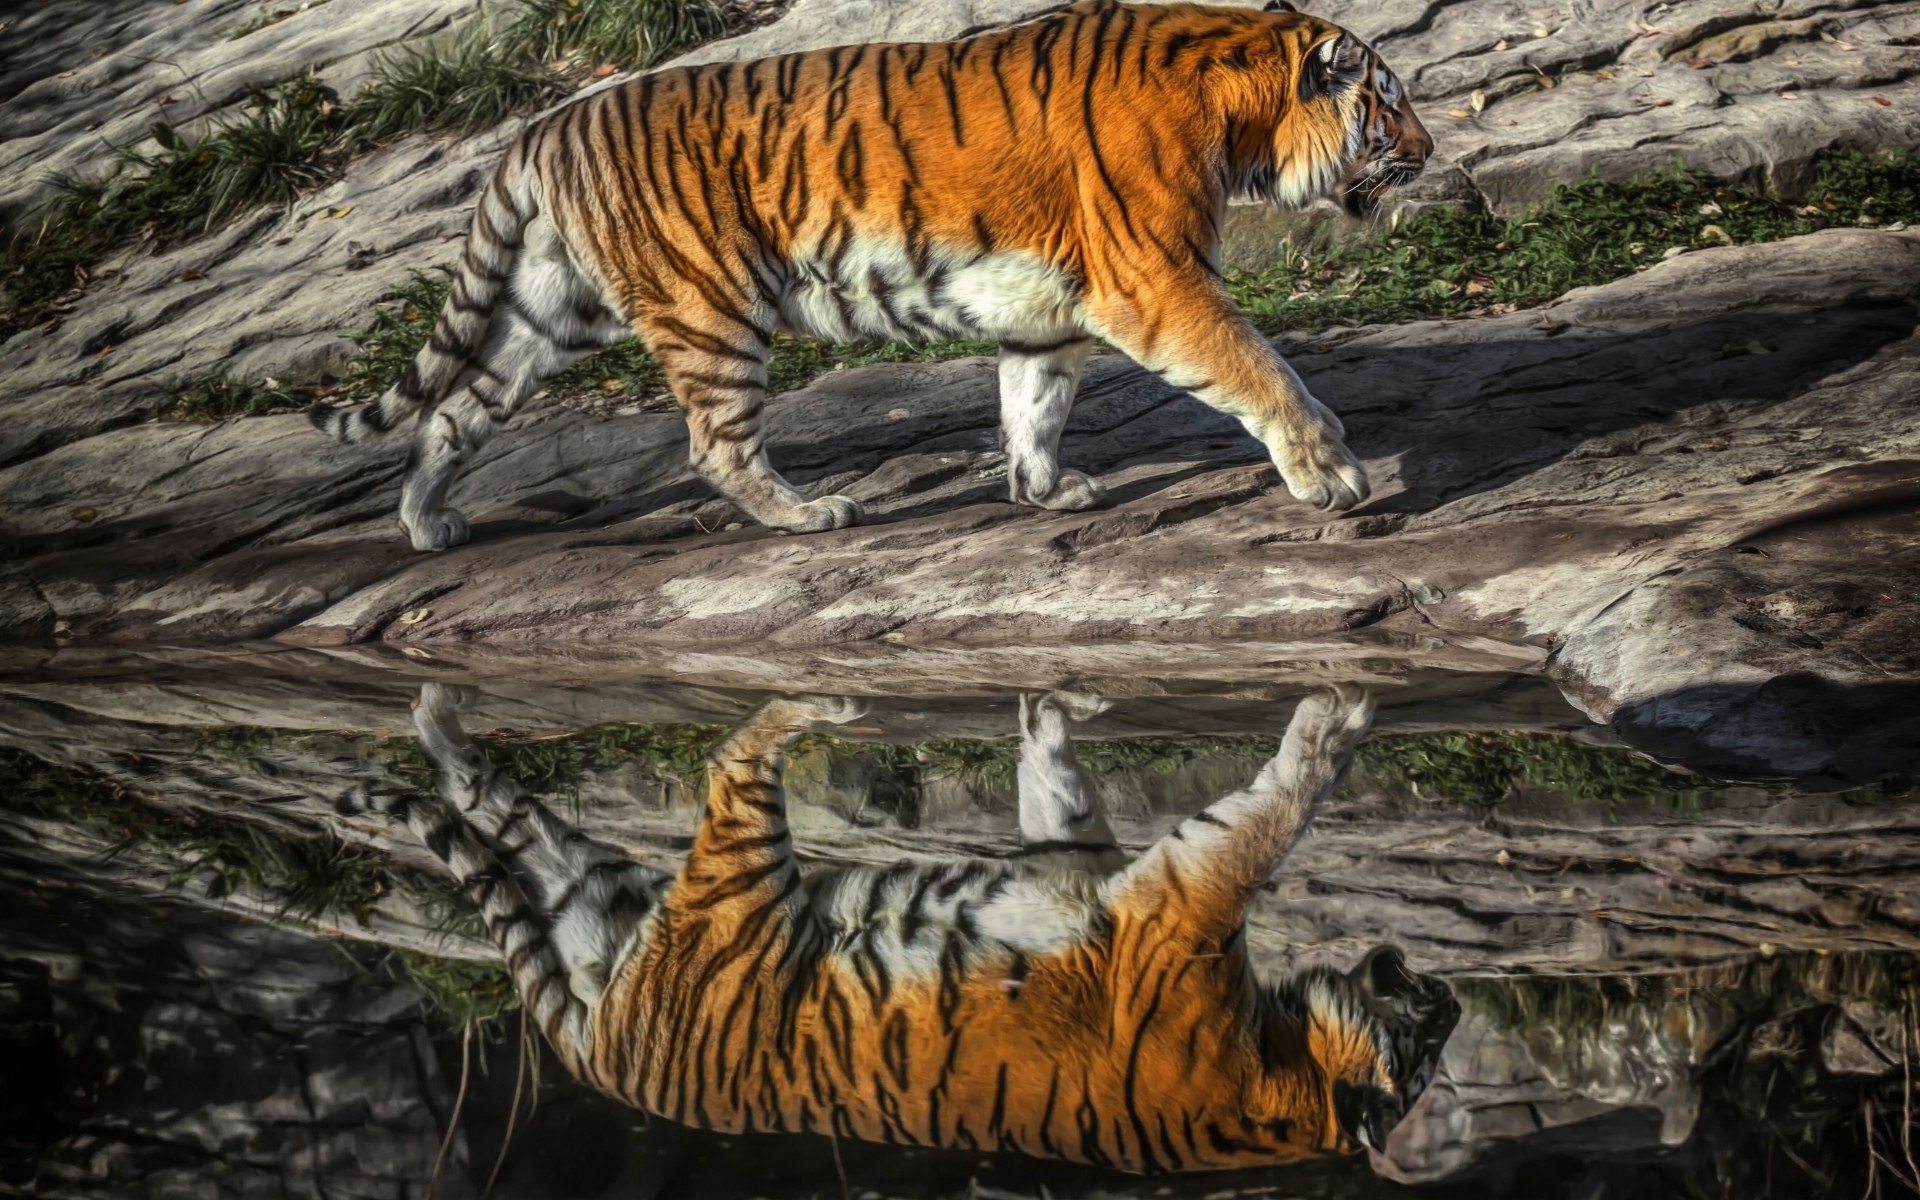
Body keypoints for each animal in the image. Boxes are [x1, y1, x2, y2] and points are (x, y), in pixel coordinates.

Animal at [310, 0, 1433, 551]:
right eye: (1388, 101)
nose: (1428, 151)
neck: (1241, 110)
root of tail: (544, 124)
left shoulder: (1055, 307)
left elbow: (1032, 402)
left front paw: (1044, 491)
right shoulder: (1156, 282)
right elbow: (1262, 371)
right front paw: (1334, 475)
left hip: (554, 315)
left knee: (454, 410)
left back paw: (427, 524)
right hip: (711, 308)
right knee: (713, 443)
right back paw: (810, 517)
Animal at [338, 682, 1459, 1172]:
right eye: (1430, 1039)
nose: (1445, 990)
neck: (1284, 1074)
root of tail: (605, 1053)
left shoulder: (1171, 899)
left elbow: (1269, 815)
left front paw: (1336, 719)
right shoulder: (1113, 877)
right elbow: (1068, 790)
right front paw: (1055, 706)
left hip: (707, 885)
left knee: (723, 758)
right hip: (634, 893)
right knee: (496, 799)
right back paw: (426, 720)